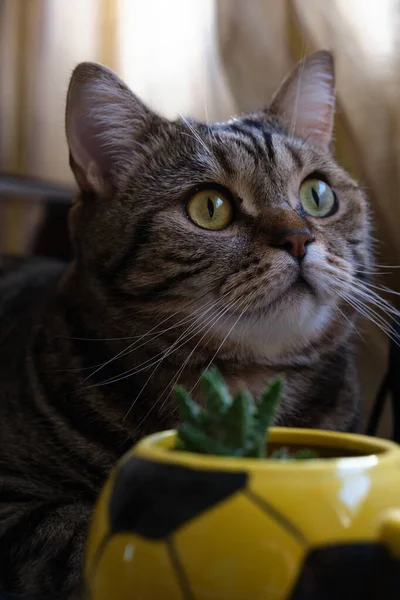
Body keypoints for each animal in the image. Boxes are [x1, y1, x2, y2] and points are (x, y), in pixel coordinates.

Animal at [0, 52, 372, 600]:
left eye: (317, 195)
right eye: (209, 207)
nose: (298, 237)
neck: (244, 385)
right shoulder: (14, 505)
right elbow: (88, 534)